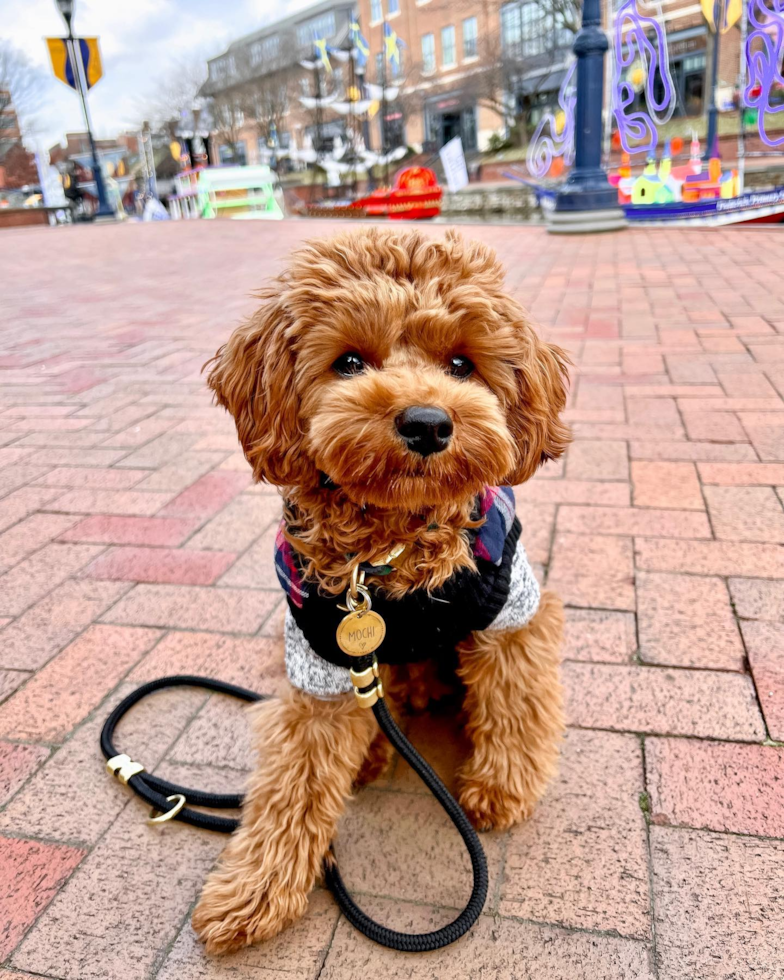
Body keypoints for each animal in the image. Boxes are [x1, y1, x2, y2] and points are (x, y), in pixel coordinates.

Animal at [192, 228, 568, 948]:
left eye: (461, 363)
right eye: (348, 362)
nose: (427, 423)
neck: (389, 557)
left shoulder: (510, 615)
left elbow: (514, 705)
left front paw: (501, 789)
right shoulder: (320, 654)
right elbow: (293, 782)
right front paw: (254, 890)